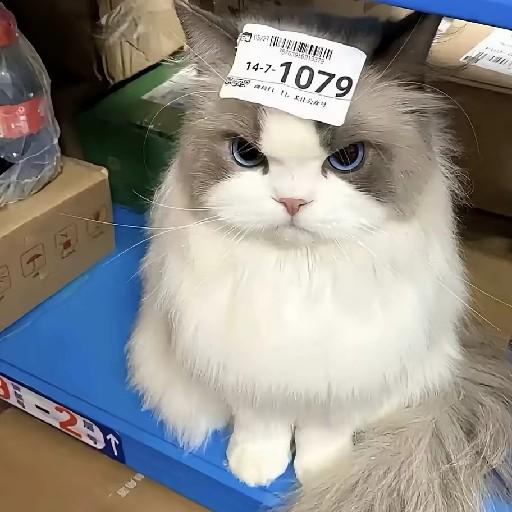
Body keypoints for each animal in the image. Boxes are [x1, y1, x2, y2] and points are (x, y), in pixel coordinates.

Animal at [128, 3, 512, 511]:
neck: (298, 276)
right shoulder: (248, 366)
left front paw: (321, 473)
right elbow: (261, 425)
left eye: (348, 158)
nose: (292, 202)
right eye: (246, 154)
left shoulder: (344, 374)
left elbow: (323, 431)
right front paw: (255, 468)